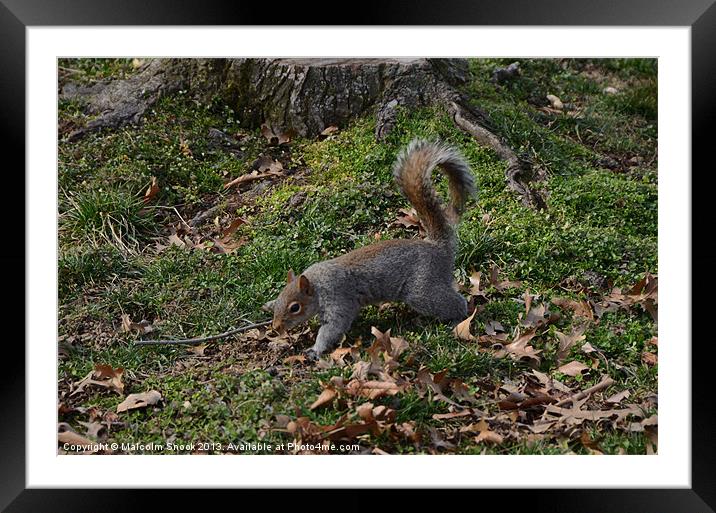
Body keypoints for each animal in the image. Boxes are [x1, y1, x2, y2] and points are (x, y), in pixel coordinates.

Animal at [262, 138, 476, 358]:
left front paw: (315, 350)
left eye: (295, 307)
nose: (276, 328)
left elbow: (333, 328)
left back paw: (456, 319)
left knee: (454, 302)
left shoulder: (338, 299)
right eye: (280, 299)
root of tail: (437, 246)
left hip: (423, 289)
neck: (317, 285)